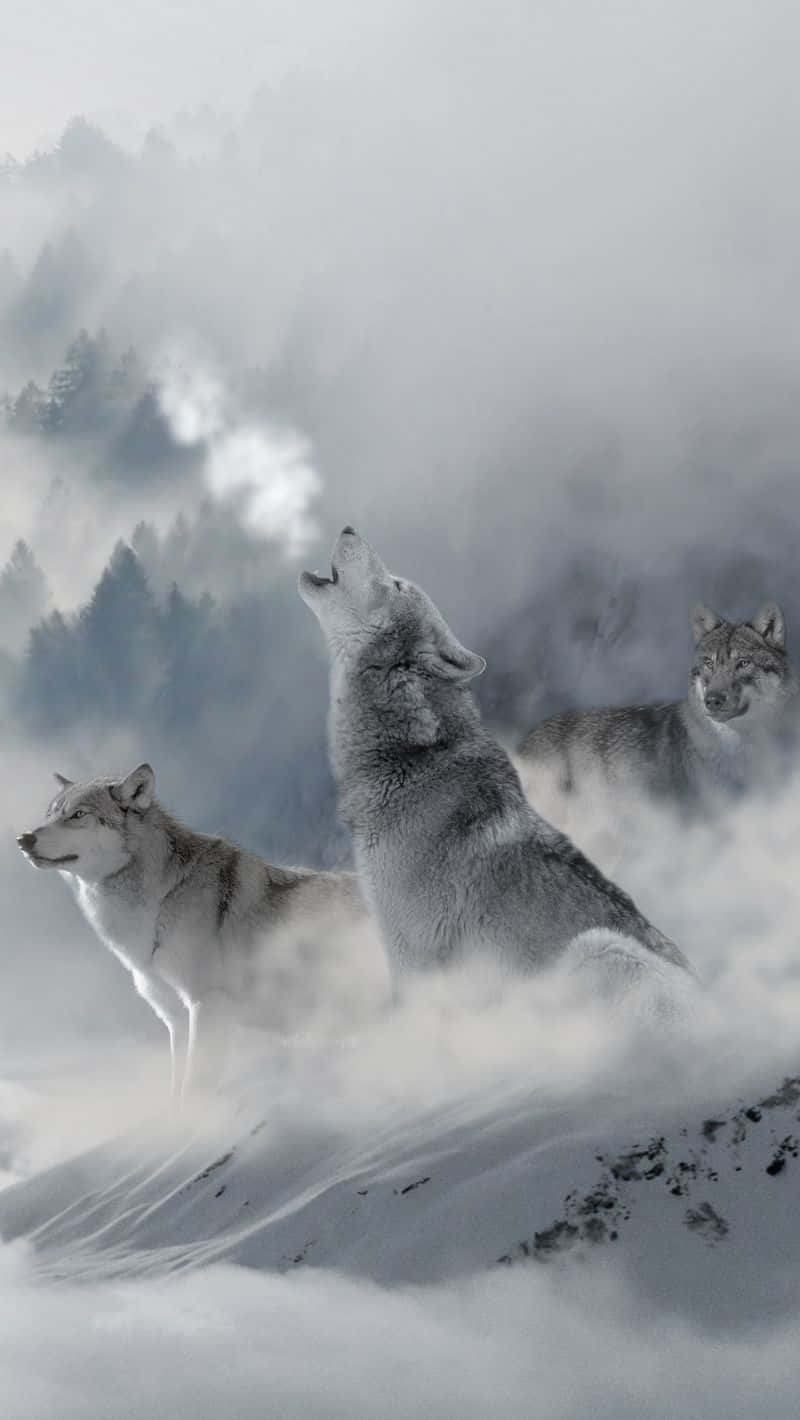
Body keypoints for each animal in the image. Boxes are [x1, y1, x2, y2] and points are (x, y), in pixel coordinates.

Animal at [17, 764, 386, 1100]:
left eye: (78, 814)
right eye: (49, 815)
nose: (24, 839)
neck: (161, 900)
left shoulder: (207, 1007)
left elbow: (195, 1091)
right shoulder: (177, 1021)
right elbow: (176, 1094)